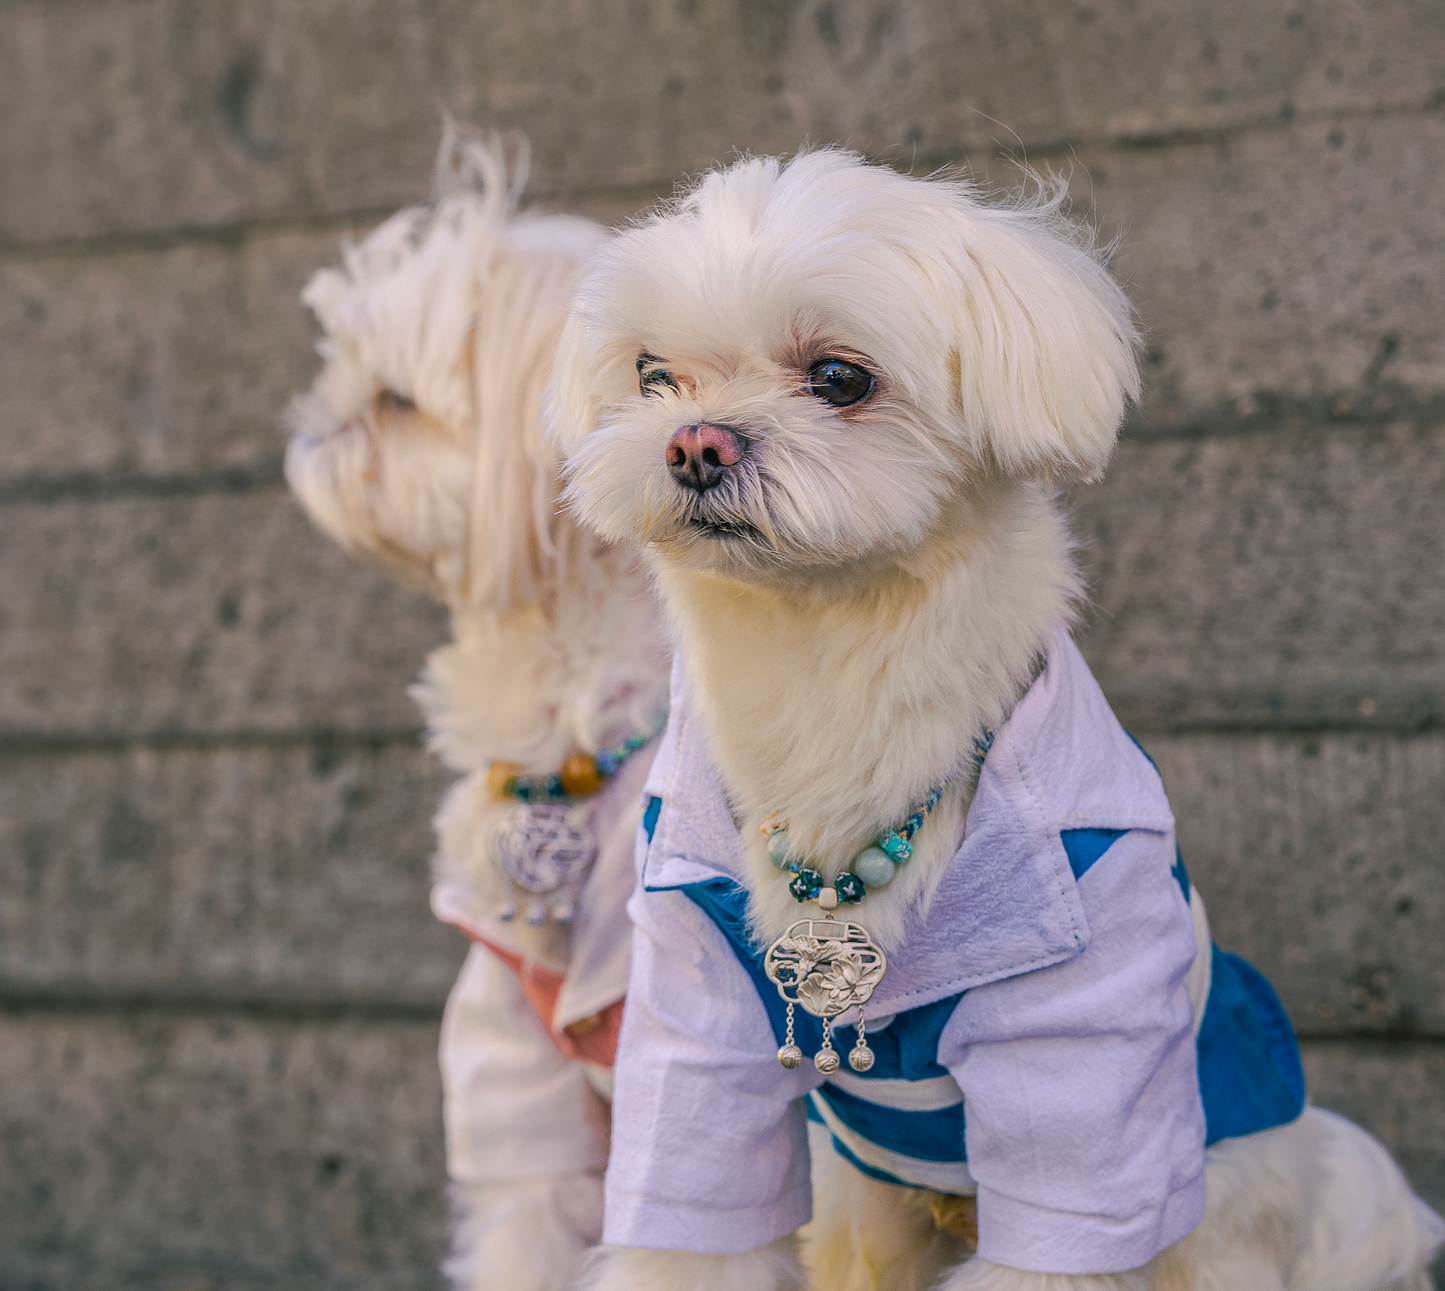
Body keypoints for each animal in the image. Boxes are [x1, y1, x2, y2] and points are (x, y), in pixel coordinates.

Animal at [543, 148, 1445, 1289]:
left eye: (839, 378)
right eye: (652, 375)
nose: (692, 443)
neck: (829, 677)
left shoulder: (1080, 1045)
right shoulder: (692, 1021)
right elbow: (692, 1218)